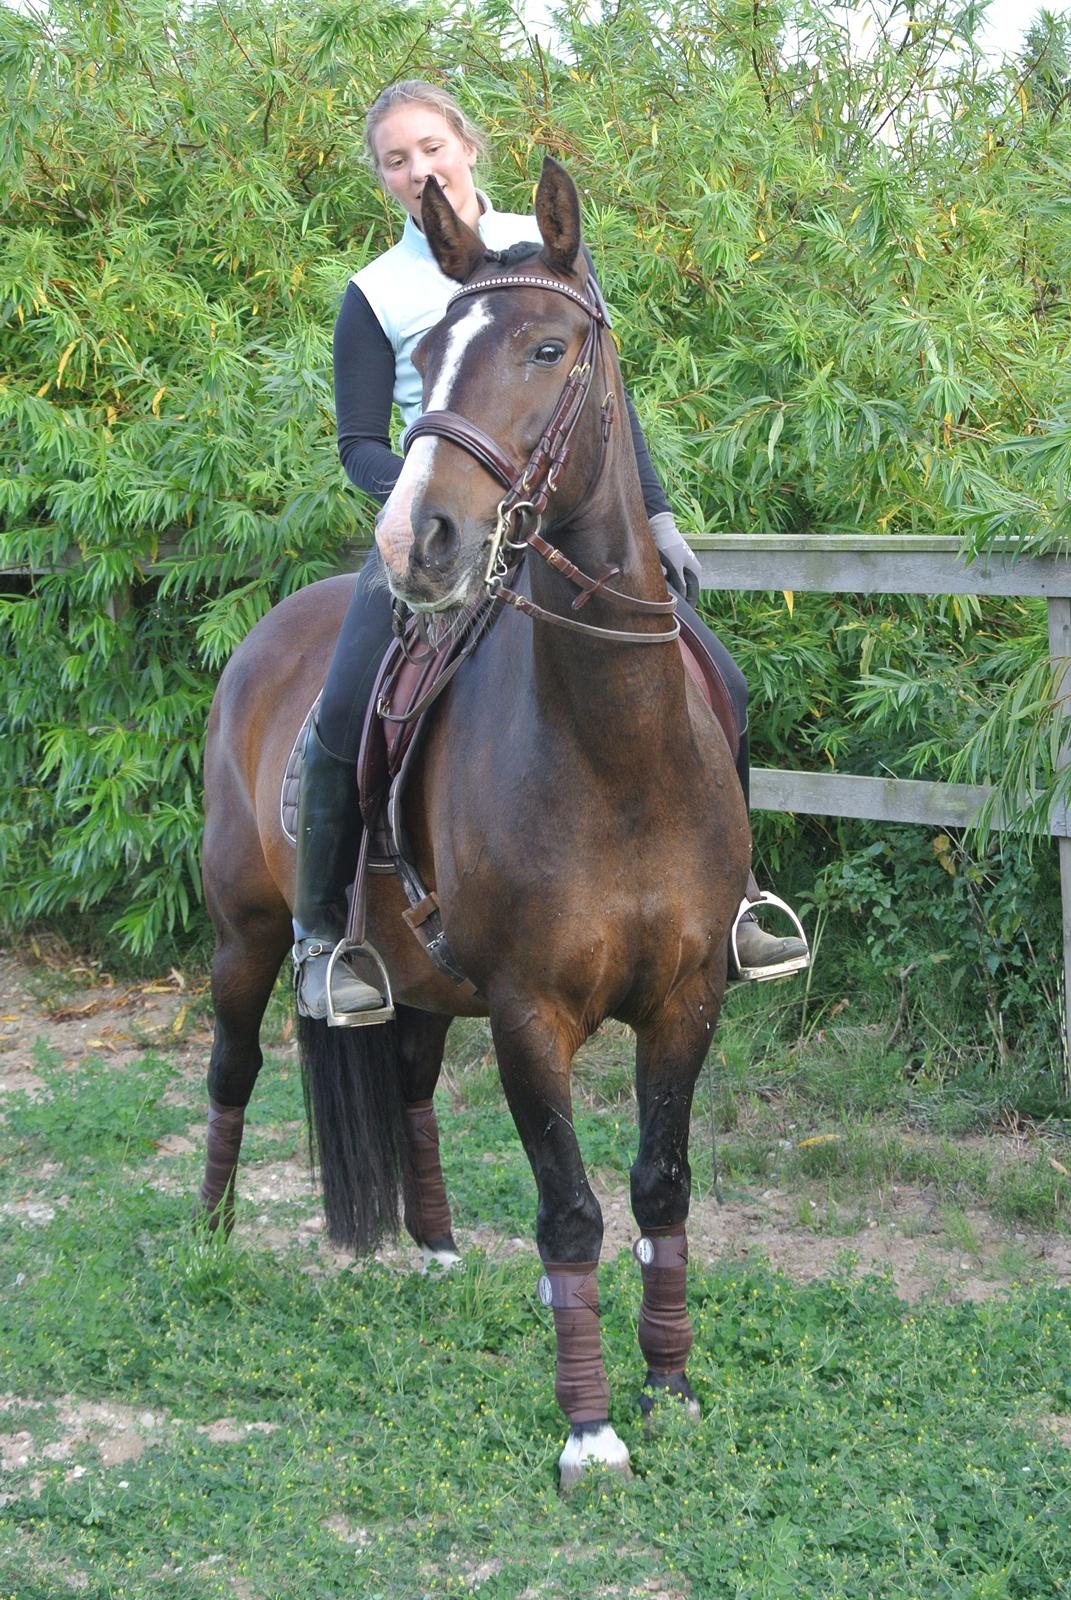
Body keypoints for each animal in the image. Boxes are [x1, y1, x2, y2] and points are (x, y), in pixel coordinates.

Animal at [202, 159, 752, 1484]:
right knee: (232, 1067)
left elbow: (661, 1189)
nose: (421, 540)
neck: (617, 754)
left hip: (414, 969)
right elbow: (571, 1209)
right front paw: (590, 1423)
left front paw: (670, 1383)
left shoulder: (687, 997)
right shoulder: (526, 1012)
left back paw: (436, 1244)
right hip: (246, 935)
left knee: (403, 1073)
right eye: (426, 354)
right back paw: (210, 1238)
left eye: (550, 347)